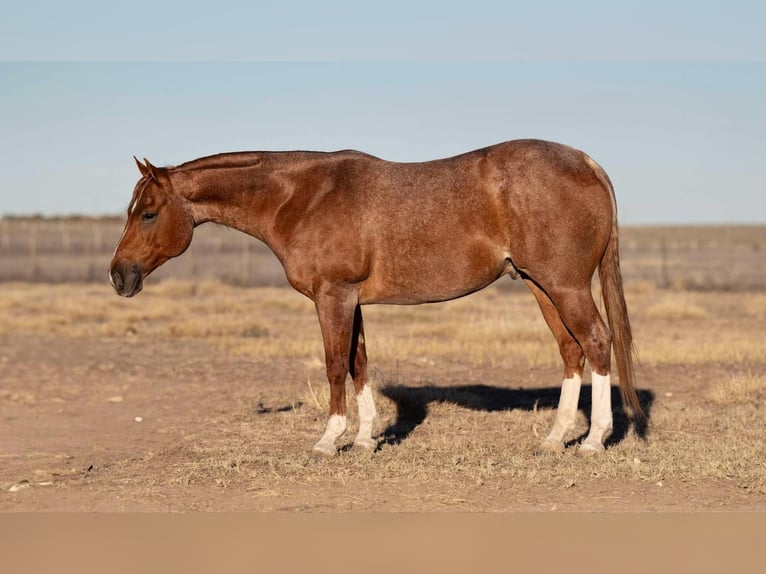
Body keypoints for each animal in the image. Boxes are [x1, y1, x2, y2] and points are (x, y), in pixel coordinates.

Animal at [111, 141, 644, 460]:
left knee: (597, 342)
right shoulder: (352, 300)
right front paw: (367, 438)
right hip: (541, 285)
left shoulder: (333, 296)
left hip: (565, 286)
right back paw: (555, 439)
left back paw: (593, 440)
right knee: (572, 351)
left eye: (149, 213)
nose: (119, 276)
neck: (301, 197)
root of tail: (586, 162)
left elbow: (334, 365)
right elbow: (359, 363)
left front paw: (329, 441)